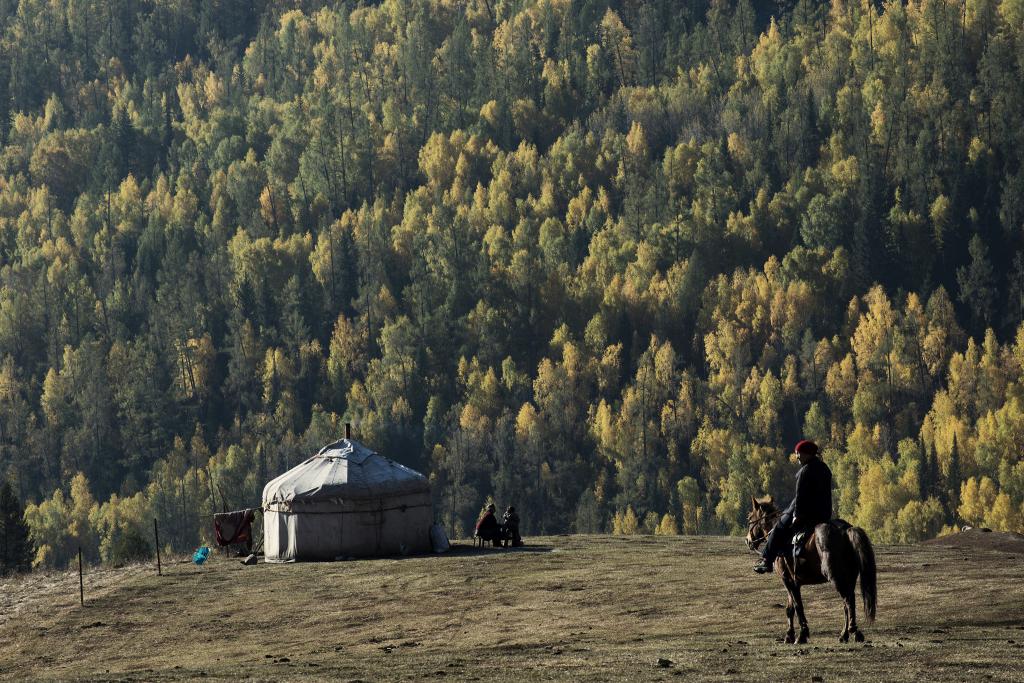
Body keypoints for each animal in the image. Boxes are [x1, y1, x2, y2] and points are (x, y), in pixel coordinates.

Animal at [745, 493, 880, 643]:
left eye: (750, 518)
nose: (748, 540)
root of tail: (846, 529)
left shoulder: (787, 580)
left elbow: (798, 606)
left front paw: (802, 635)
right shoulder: (792, 582)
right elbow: (790, 608)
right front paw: (789, 635)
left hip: (836, 576)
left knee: (847, 600)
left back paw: (853, 631)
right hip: (849, 577)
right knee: (848, 602)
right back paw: (845, 634)